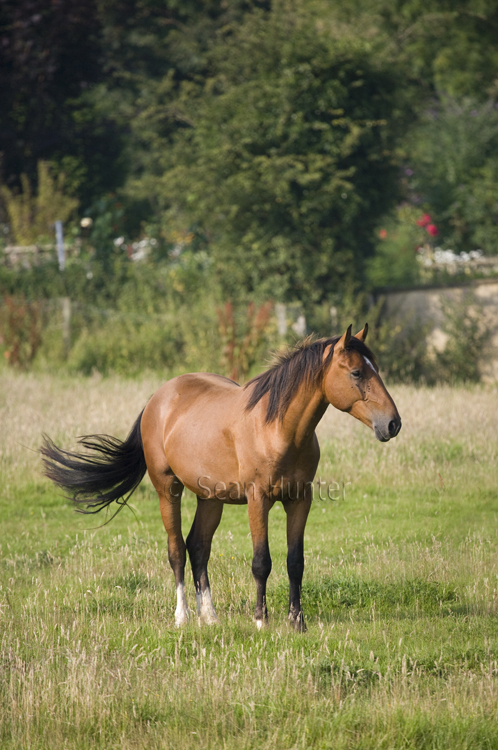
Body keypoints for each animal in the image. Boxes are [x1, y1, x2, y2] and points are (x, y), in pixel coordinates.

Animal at [40, 326, 402, 632]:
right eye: (356, 372)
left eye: (375, 368)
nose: (393, 423)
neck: (277, 427)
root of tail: (158, 398)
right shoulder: (258, 500)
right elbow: (261, 562)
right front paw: (261, 620)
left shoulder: (300, 499)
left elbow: (295, 562)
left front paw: (297, 622)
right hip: (167, 488)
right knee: (177, 549)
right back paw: (183, 617)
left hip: (210, 498)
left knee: (198, 547)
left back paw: (210, 617)